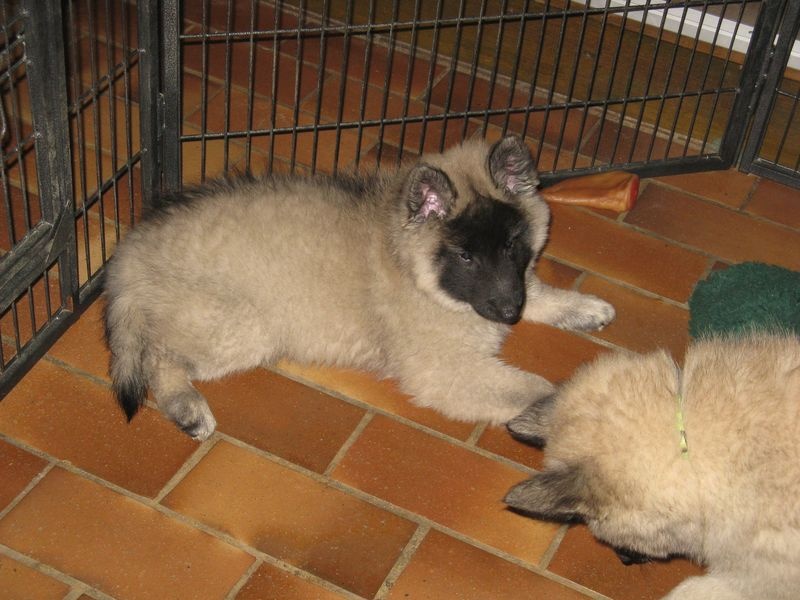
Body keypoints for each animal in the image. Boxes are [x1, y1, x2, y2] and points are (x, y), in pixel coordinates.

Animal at [103, 135, 614, 440]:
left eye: (511, 245)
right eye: (466, 257)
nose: (508, 313)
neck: (403, 256)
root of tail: (132, 251)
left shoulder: (513, 286)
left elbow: (537, 291)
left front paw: (581, 306)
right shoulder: (446, 370)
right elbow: (533, 386)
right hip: (239, 325)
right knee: (158, 358)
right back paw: (186, 405)